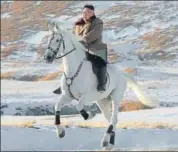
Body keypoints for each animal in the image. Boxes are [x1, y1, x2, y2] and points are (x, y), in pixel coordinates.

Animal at [43, 22, 159, 150]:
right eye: (48, 40)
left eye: (57, 40)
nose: (47, 57)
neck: (73, 71)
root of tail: (122, 73)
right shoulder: (67, 96)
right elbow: (57, 107)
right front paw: (60, 132)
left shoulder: (87, 96)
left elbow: (79, 106)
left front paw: (89, 115)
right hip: (102, 101)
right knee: (111, 120)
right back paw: (110, 143)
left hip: (115, 98)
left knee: (113, 118)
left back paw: (105, 141)